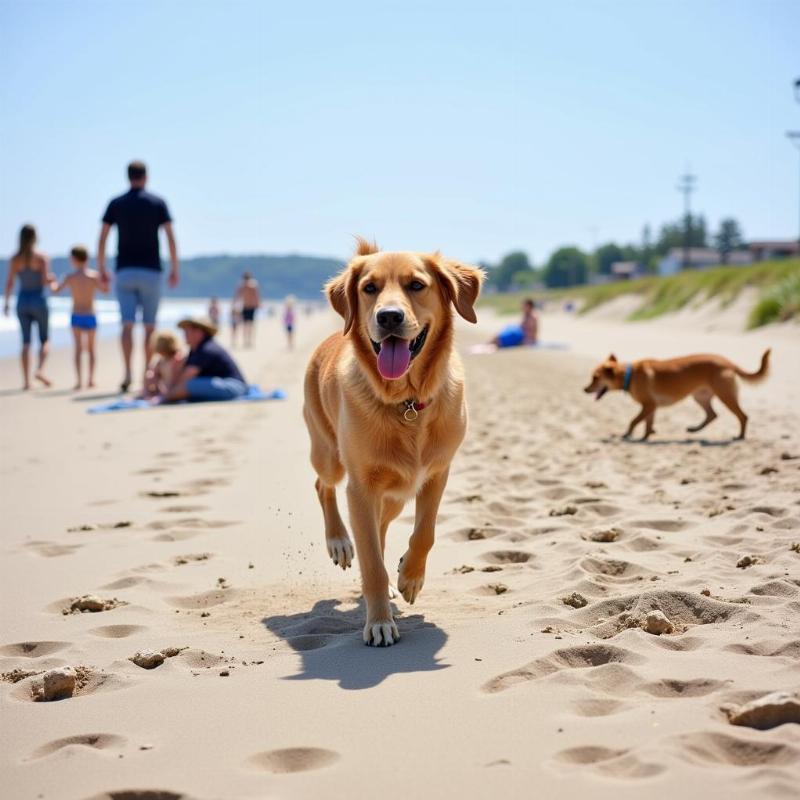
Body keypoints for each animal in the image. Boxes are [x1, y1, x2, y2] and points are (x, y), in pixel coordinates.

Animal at [584, 348, 772, 440]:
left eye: (595, 378)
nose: (584, 389)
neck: (630, 375)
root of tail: (729, 362)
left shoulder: (648, 405)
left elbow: (634, 421)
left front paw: (627, 435)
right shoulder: (651, 407)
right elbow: (647, 423)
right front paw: (647, 435)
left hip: (725, 395)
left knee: (742, 416)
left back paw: (740, 436)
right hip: (700, 396)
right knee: (712, 415)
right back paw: (694, 429)